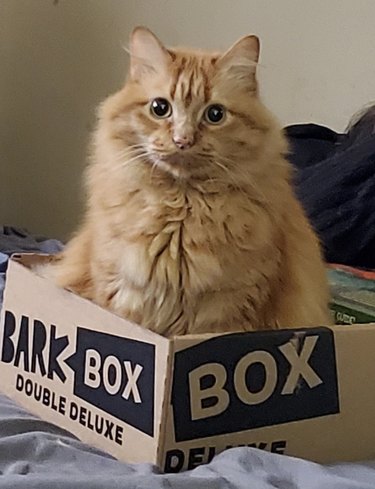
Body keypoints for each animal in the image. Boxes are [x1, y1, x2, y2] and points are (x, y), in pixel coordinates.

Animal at [39, 24, 332, 334]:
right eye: (160, 108)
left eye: (215, 114)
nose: (183, 140)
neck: (180, 207)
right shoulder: (121, 296)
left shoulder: (229, 312)